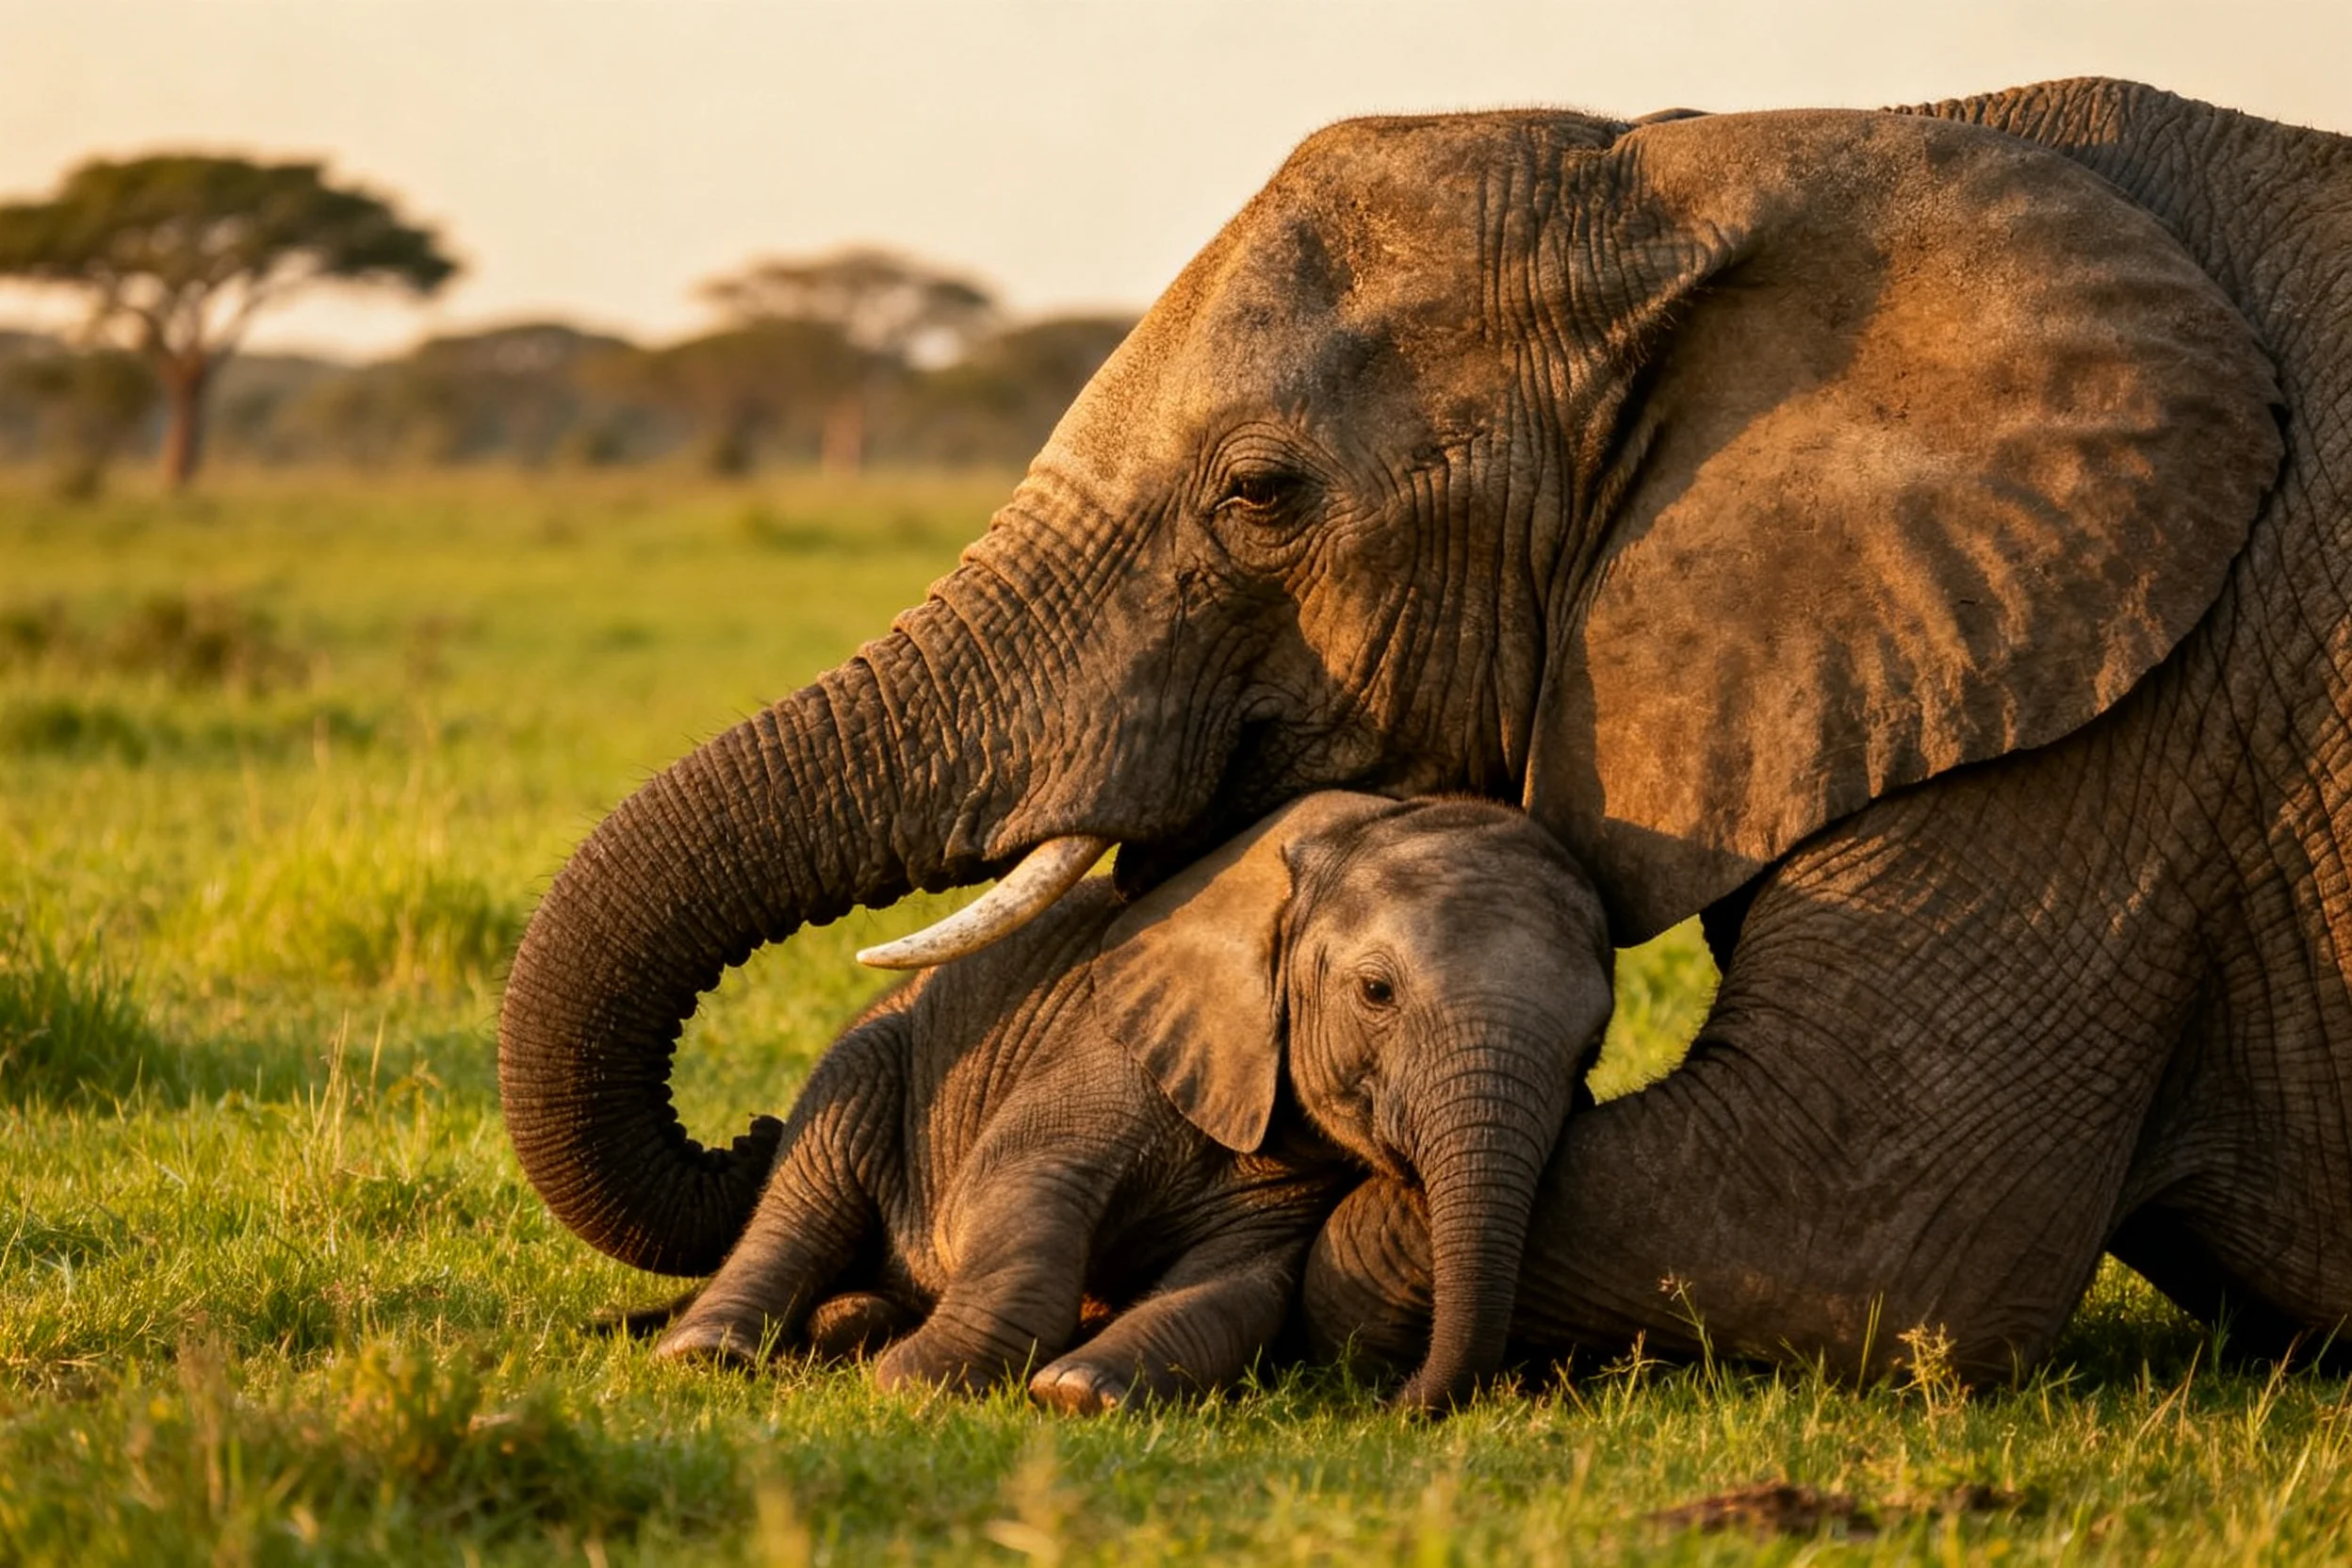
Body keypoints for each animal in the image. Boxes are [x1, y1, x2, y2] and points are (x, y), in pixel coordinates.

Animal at [645, 793, 1612, 1411]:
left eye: (1591, 1050)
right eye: (1377, 992)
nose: (1401, 1405)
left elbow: (1245, 1283)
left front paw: (1081, 1393)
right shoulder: (1112, 1041)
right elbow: (1019, 1186)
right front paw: (915, 1383)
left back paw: (853, 1324)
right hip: (878, 1052)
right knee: (814, 1183)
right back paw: (709, 1353)